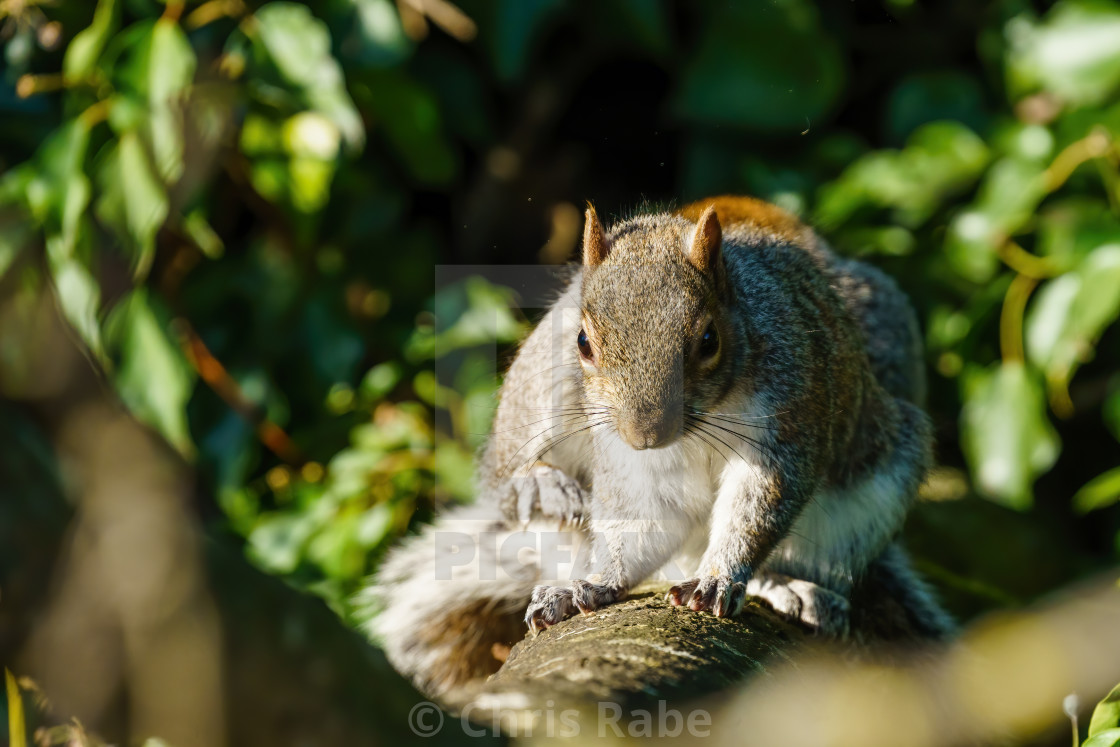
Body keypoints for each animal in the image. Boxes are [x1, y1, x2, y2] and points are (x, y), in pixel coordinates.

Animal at [367, 195, 954, 698]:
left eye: (709, 340)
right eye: (584, 342)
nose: (644, 434)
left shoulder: (788, 414)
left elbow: (757, 504)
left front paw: (720, 578)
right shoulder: (632, 464)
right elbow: (641, 521)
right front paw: (595, 585)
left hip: (873, 492)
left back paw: (783, 584)